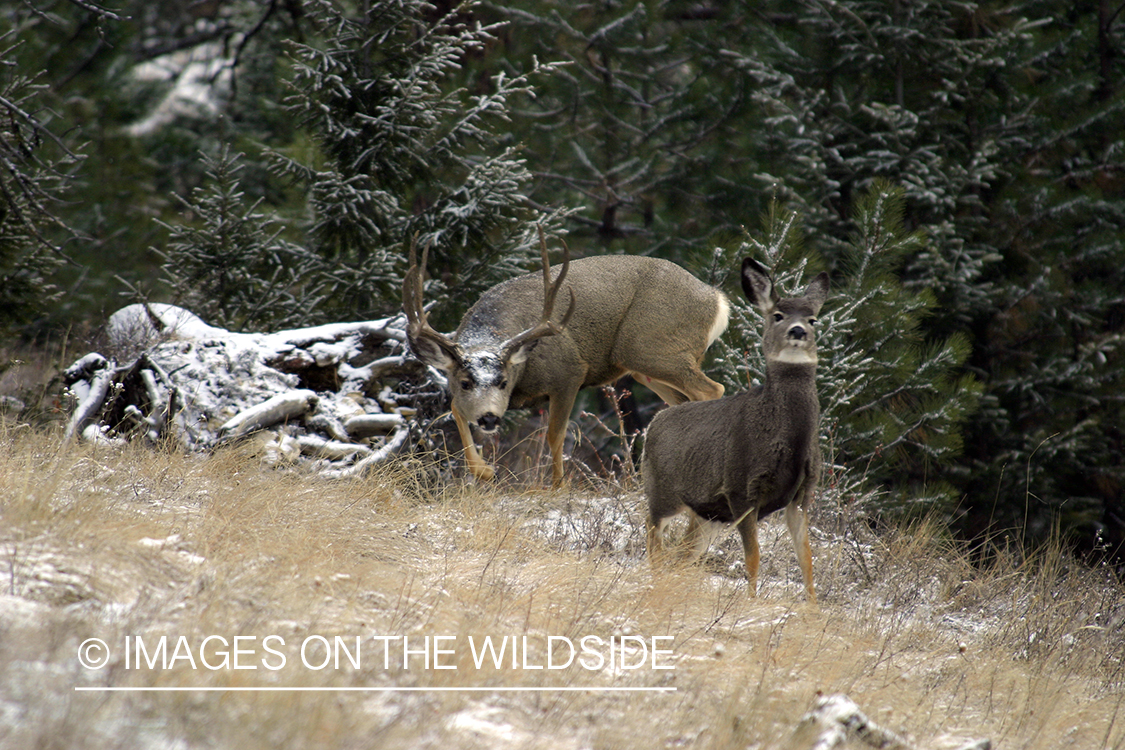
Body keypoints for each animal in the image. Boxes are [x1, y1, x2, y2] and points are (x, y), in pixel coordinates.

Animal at [402, 228, 730, 486]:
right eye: (465, 382)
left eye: (503, 381)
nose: (489, 417)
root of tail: (717, 299)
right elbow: (455, 409)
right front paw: (485, 471)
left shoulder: (569, 372)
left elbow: (555, 435)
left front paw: (557, 487)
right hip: (646, 366)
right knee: (682, 402)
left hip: (649, 345)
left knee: (712, 389)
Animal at [642, 258, 829, 603]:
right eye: (777, 315)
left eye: (813, 319)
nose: (798, 331)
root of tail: (654, 421)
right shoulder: (740, 488)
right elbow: (753, 556)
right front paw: (751, 602)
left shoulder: (802, 494)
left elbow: (807, 560)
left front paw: (813, 609)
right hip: (662, 491)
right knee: (653, 534)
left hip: (709, 515)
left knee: (682, 553)